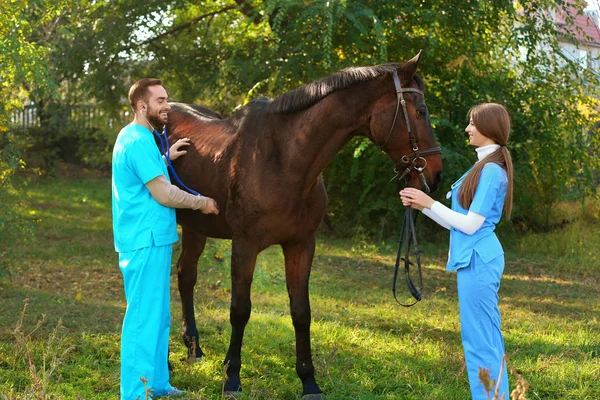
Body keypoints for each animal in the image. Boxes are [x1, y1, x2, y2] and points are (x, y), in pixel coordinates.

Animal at [166, 51, 442, 398]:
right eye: (421, 111)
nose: (436, 174)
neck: (284, 158)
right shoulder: (245, 246)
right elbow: (240, 310)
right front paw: (232, 376)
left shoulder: (301, 245)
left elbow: (301, 312)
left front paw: (309, 381)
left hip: (195, 226)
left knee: (186, 275)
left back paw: (194, 347)